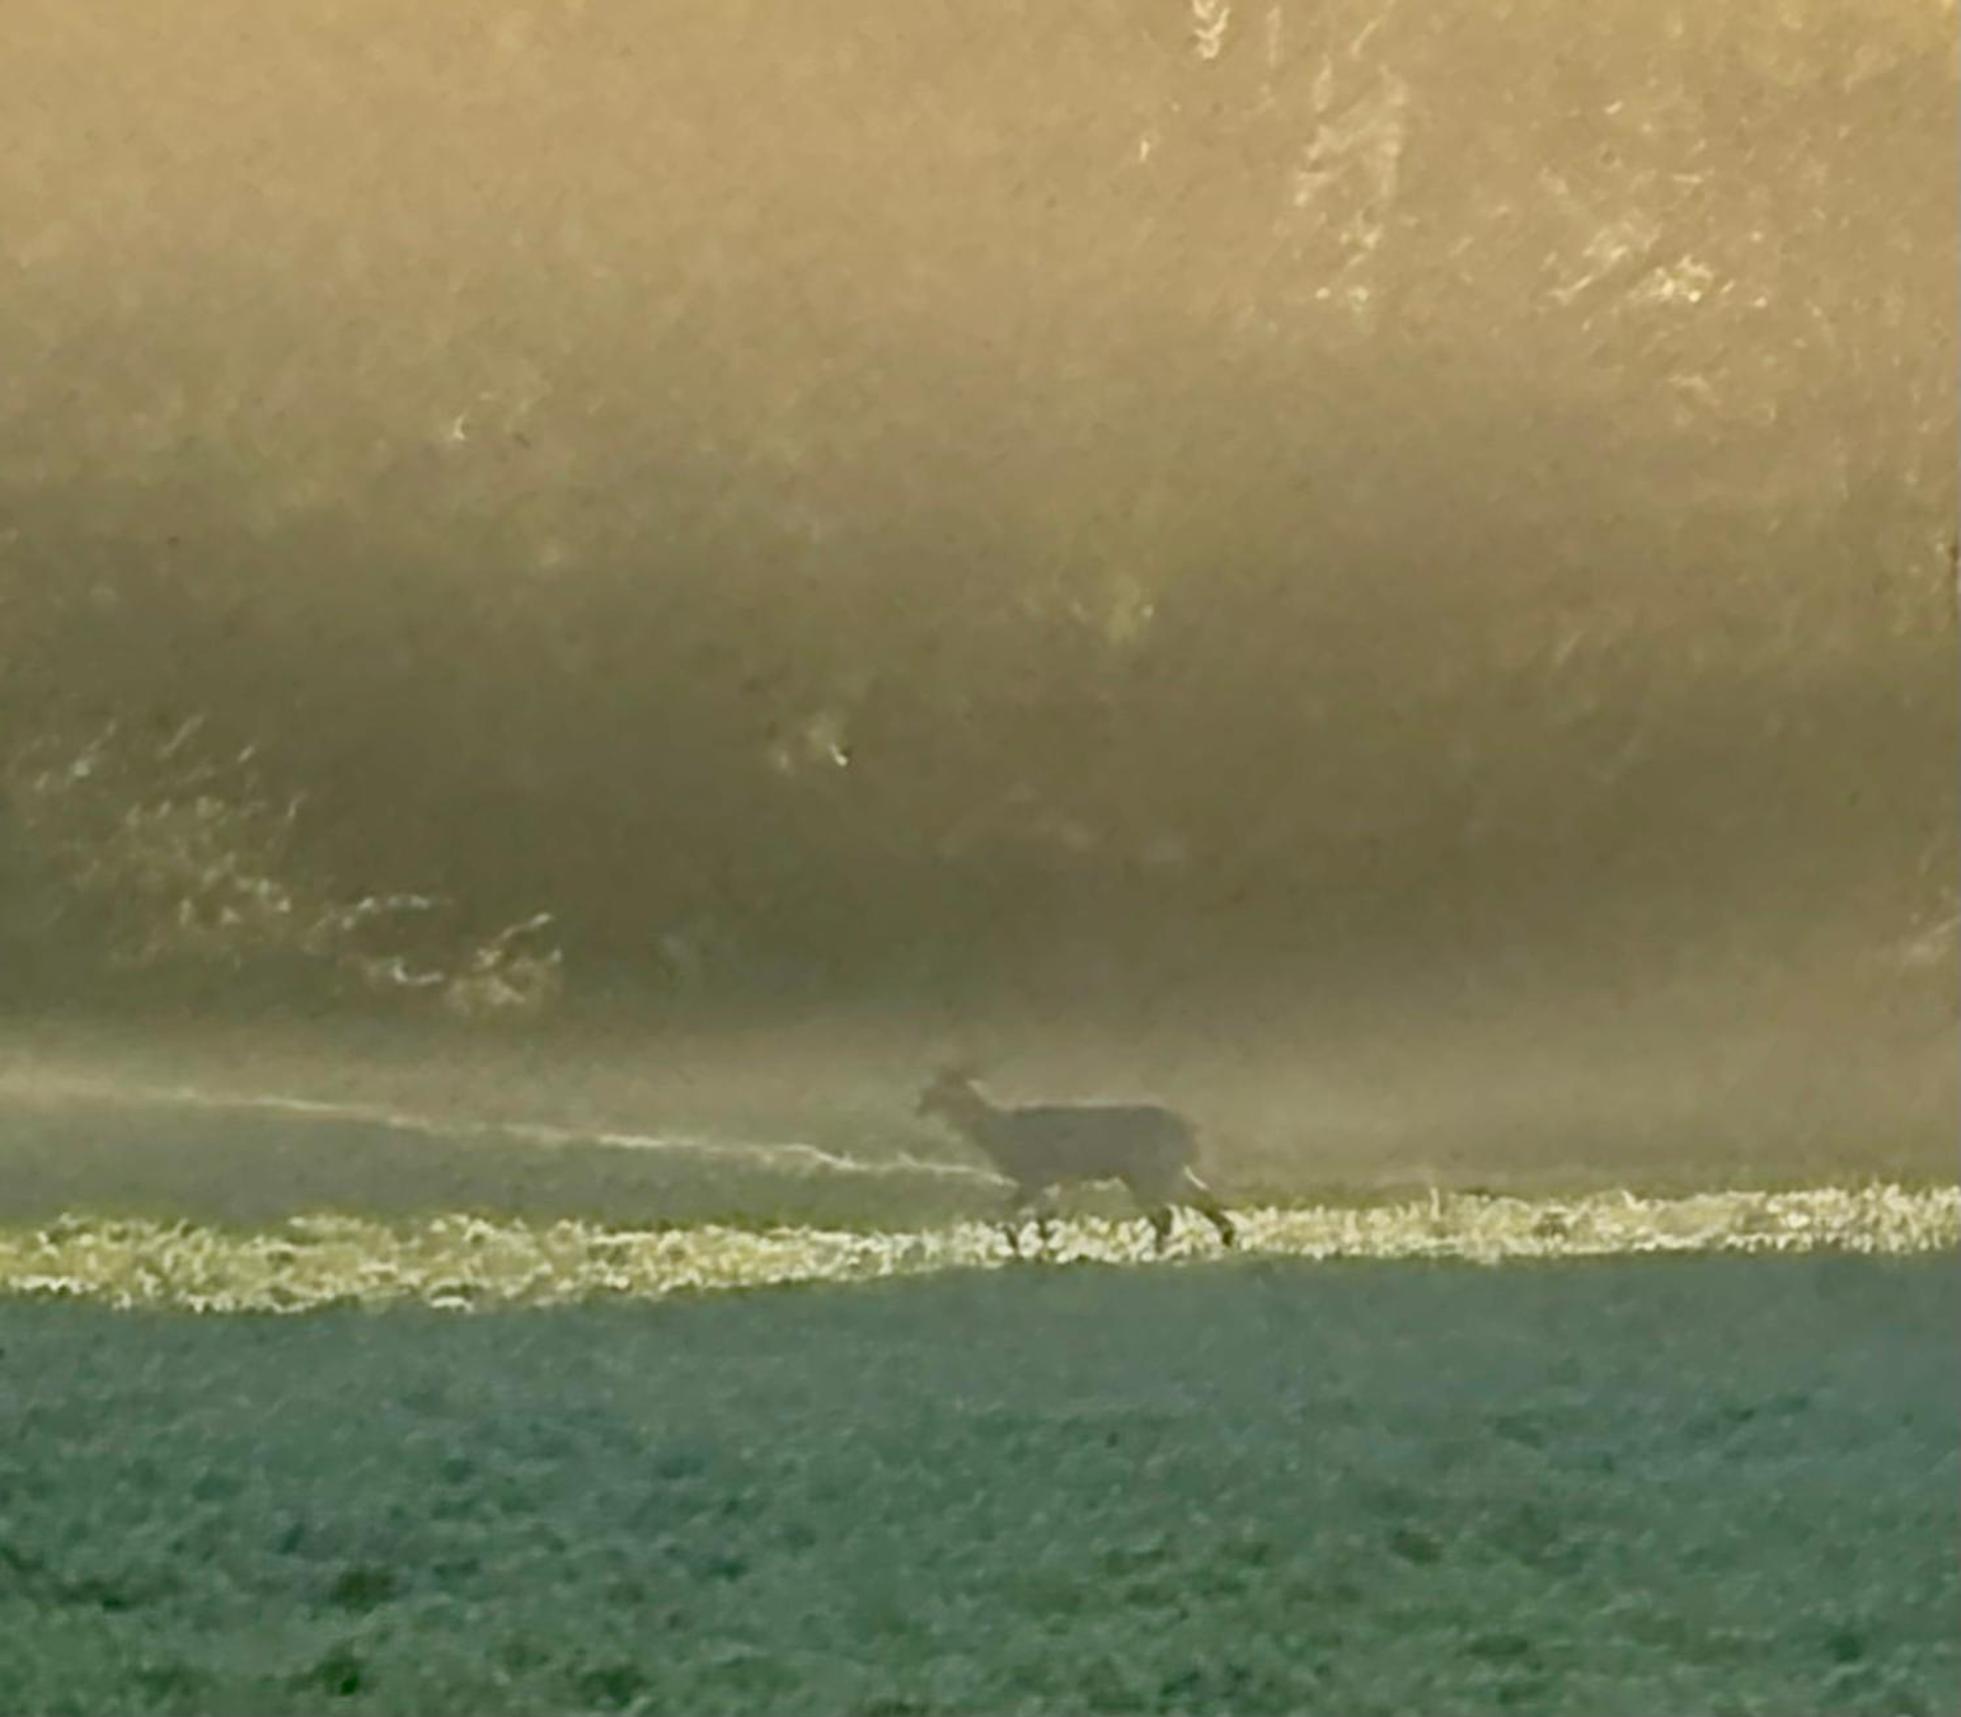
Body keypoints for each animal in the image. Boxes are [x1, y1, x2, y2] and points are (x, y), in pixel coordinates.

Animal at [921, 1066, 1239, 1254]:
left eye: (940, 1091)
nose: (919, 1106)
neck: (998, 1132)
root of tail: (1189, 1132)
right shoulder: (1045, 1182)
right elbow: (1037, 1217)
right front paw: (1035, 1246)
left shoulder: (1034, 1177)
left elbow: (1016, 1213)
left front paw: (1020, 1244)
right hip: (1163, 1171)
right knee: (1198, 1198)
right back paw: (1226, 1237)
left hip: (1149, 1172)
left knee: (1167, 1214)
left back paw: (1159, 1250)